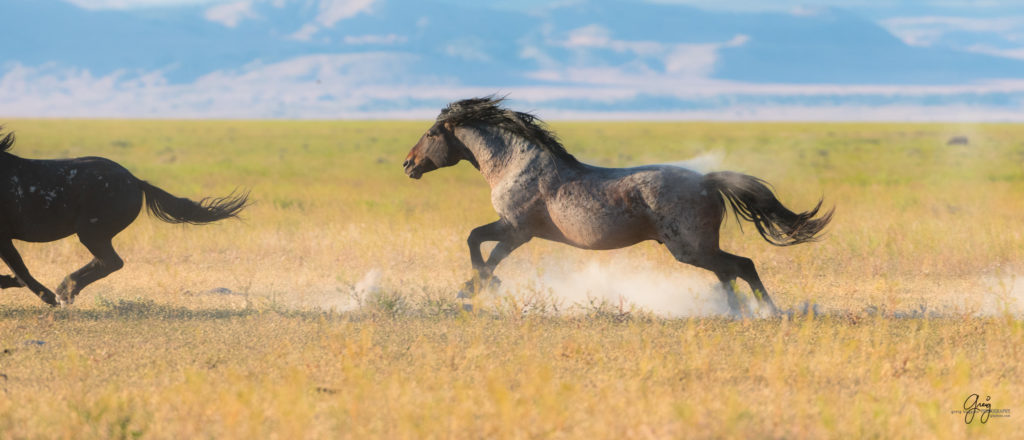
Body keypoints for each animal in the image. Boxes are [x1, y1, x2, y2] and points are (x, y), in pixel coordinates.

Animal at [0, 127, 247, 304]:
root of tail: (136, 181)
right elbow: (17, 267)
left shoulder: (4, 238)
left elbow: (20, 267)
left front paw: (47, 296)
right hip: (95, 234)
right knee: (105, 262)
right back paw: (66, 288)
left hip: (91, 232)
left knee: (111, 262)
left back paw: (64, 291)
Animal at [401, 97, 831, 315]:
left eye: (431, 133)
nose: (408, 164)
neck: (515, 162)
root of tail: (707, 181)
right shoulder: (515, 229)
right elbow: (479, 244)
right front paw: (475, 287)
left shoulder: (517, 229)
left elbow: (479, 245)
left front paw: (475, 288)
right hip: (698, 248)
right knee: (729, 271)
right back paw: (737, 311)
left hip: (689, 248)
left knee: (741, 266)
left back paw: (765, 311)